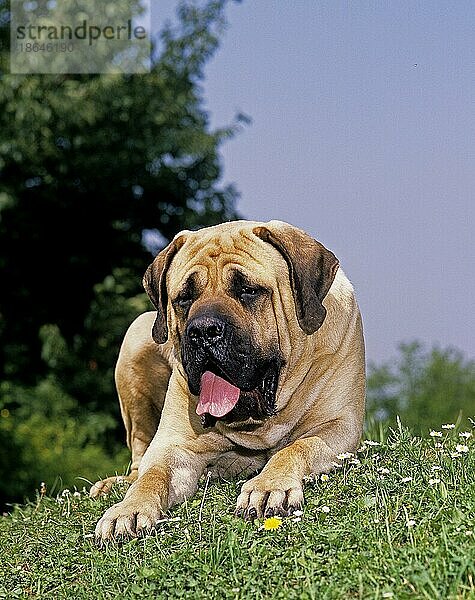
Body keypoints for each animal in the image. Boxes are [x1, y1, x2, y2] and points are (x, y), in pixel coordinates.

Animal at [94, 219, 368, 544]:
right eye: (184, 298)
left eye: (247, 290)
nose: (203, 330)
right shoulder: (174, 448)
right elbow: (152, 476)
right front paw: (127, 510)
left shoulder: (339, 427)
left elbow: (298, 447)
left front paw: (267, 486)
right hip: (136, 335)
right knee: (139, 458)